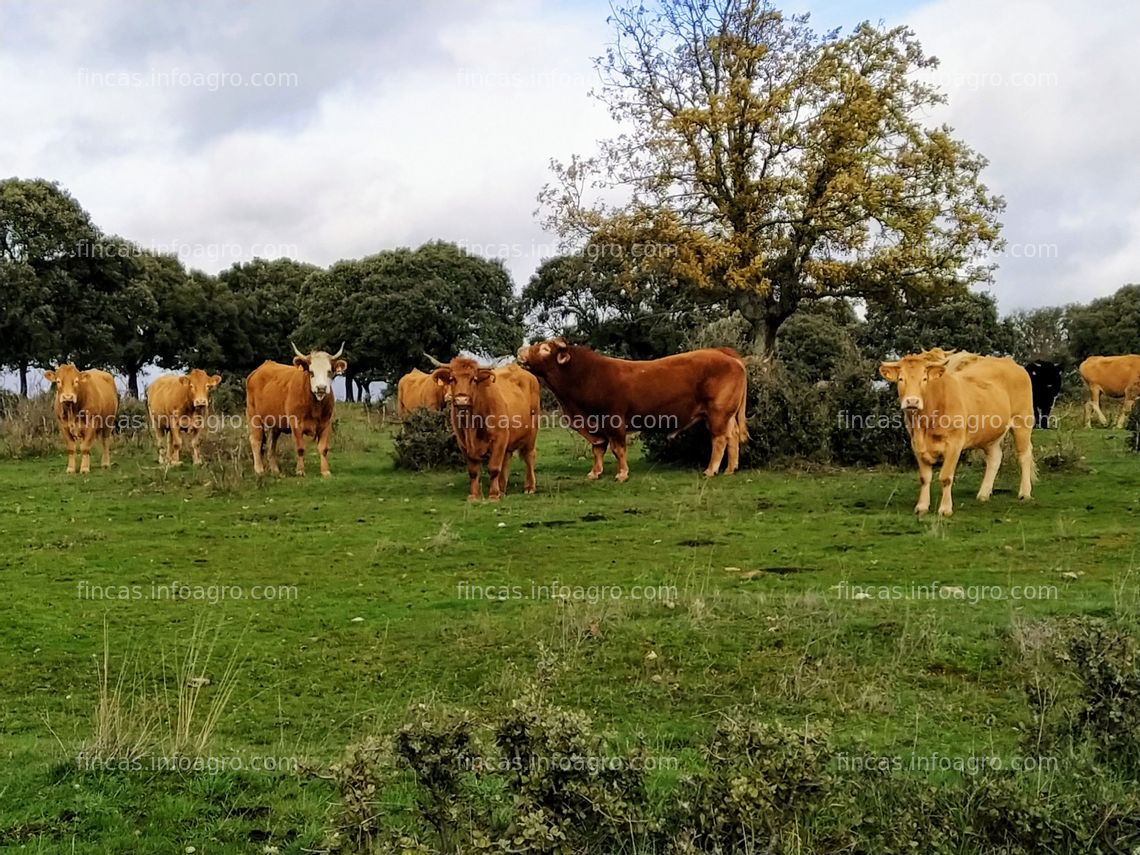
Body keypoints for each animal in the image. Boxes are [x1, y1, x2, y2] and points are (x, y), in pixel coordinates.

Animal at [242, 344, 344, 478]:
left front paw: (325, 471)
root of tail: (257, 371)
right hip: (254, 416)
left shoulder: (326, 423)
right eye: (311, 372)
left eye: (329, 372)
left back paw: (275, 470)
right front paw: (300, 470)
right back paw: (259, 469)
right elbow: (300, 448)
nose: (321, 388)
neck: (314, 405)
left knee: (271, 445)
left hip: (274, 423)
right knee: (256, 441)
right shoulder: (296, 424)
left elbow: (323, 448)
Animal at [428, 355, 540, 501]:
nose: (462, 400)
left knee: (529, 456)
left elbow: (494, 467)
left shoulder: (499, 438)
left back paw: (529, 487)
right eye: (452, 379)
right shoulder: (463, 443)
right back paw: (502, 489)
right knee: (507, 459)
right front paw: (475, 495)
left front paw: (493, 495)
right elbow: (473, 471)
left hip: (532, 431)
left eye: (474, 379)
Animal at [517, 337, 747, 483]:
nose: (520, 351)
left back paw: (711, 470)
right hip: (726, 415)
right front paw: (595, 473)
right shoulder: (594, 425)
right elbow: (598, 449)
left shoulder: (613, 420)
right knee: (733, 436)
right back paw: (730, 469)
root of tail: (722, 352)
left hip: (717, 412)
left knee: (719, 439)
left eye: (545, 349)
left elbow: (618, 449)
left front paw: (622, 474)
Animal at [875, 353, 1039, 519]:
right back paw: (984, 494)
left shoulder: (954, 445)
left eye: (924, 378)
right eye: (901, 379)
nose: (912, 401)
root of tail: (1009, 362)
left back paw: (1025, 493)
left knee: (1024, 455)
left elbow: (946, 477)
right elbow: (924, 478)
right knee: (995, 457)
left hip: (1022, 422)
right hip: (990, 434)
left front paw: (945, 509)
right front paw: (922, 506)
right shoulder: (916, 445)